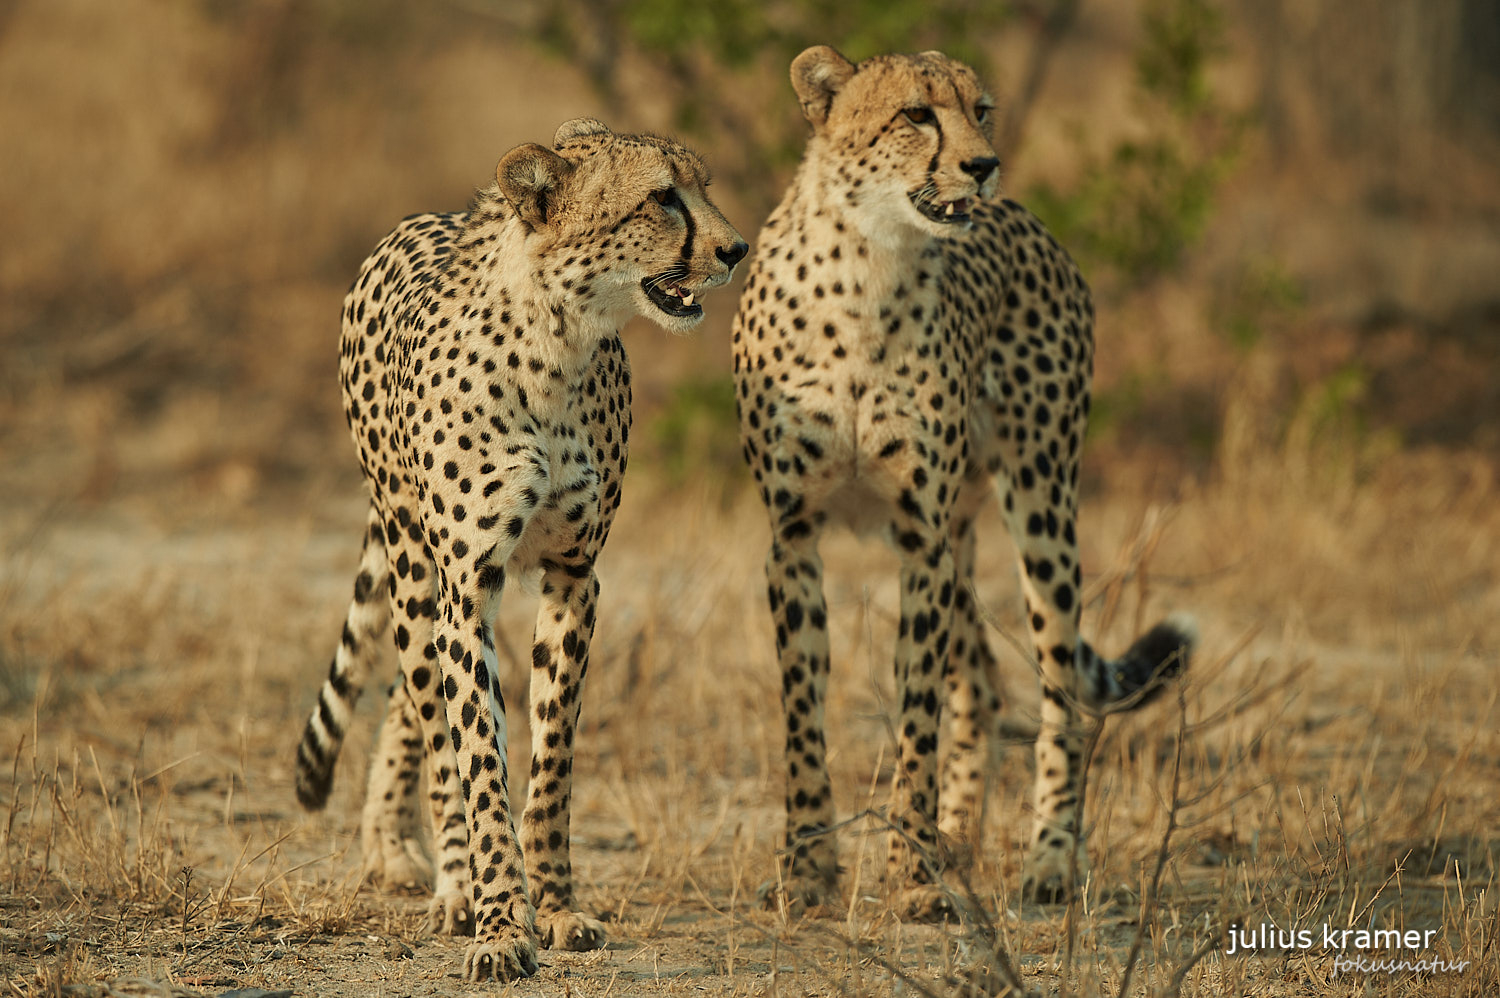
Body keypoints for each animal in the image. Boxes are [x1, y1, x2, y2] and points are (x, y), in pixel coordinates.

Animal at [289, 118, 747, 978]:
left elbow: (552, 762)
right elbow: (476, 757)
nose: (735, 249)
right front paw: (501, 923)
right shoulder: (469, 583)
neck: (558, 347)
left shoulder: (575, 575)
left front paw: (559, 908)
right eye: (661, 198)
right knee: (428, 714)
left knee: (405, 698)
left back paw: (394, 845)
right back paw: (451, 884)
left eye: (703, 185)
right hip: (414, 560)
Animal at [732, 48, 1200, 912]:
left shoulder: (920, 540)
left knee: (1059, 694)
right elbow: (803, 712)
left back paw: (1047, 862)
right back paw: (960, 839)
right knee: (981, 681)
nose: (984, 165)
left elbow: (917, 713)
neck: (866, 265)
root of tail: (1032, 222)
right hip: (962, 535)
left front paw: (911, 873)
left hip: (1040, 503)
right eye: (916, 114)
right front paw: (807, 870)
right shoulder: (794, 533)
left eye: (981, 110)